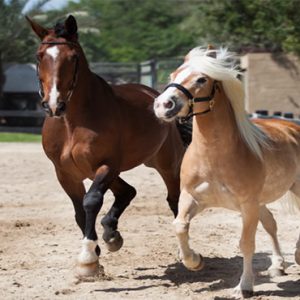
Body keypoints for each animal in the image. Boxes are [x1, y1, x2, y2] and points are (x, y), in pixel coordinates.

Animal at [26, 15, 188, 276]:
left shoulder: (107, 165)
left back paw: (185, 252)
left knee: (174, 199)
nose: (53, 104)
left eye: (73, 57)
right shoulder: (66, 173)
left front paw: (88, 259)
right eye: (39, 56)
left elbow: (91, 201)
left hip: (166, 165)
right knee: (127, 191)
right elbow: (79, 212)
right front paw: (95, 252)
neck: (72, 123)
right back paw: (111, 233)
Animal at [154, 46, 300, 296]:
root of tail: (292, 128)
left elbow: (246, 243)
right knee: (271, 224)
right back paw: (277, 266)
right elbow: (180, 226)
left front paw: (244, 287)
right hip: (261, 203)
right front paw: (195, 261)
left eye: (202, 79)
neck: (214, 156)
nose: (163, 105)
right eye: (173, 75)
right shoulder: (191, 197)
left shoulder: (248, 205)